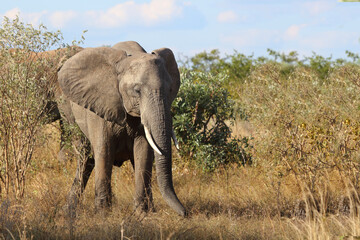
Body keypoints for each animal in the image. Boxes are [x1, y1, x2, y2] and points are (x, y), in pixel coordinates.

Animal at [57, 40, 187, 217]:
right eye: (137, 90)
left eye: (170, 90)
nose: (185, 213)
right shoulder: (100, 108)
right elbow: (104, 149)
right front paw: (103, 214)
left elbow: (144, 152)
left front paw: (142, 213)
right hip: (68, 113)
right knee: (85, 156)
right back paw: (69, 211)